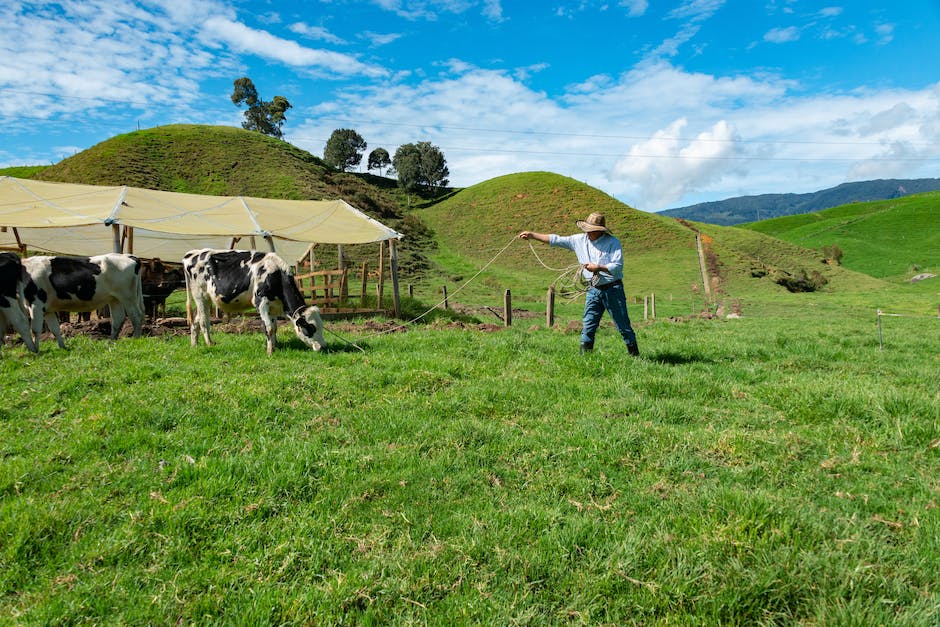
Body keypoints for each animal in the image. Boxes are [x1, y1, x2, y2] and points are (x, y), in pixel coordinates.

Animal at [181, 251, 326, 358]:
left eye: (321, 326)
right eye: (310, 327)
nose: (323, 347)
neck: (276, 273)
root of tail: (191, 254)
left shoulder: (273, 306)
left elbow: (274, 327)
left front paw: (275, 346)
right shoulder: (261, 302)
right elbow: (268, 328)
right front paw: (269, 352)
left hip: (206, 299)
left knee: (195, 320)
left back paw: (194, 345)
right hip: (200, 295)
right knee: (203, 321)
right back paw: (209, 344)